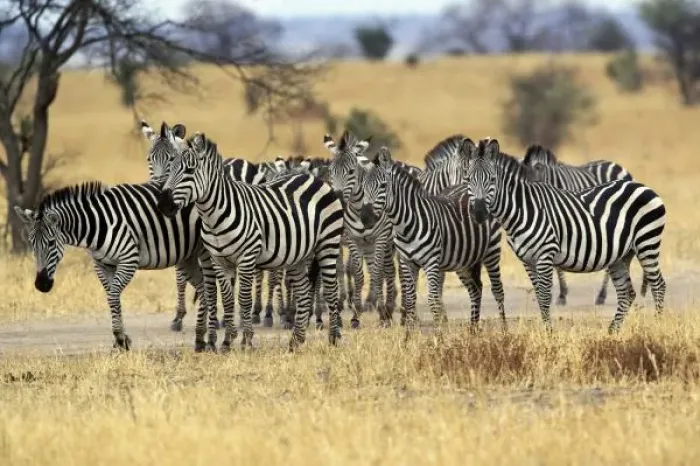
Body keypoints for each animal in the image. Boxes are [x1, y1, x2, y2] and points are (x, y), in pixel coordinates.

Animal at [14, 182, 221, 352]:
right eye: (32, 244)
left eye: (50, 243)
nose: (41, 284)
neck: (97, 226)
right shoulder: (102, 265)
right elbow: (112, 298)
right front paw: (121, 340)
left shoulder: (128, 260)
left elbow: (113, 296)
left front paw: (120, 339)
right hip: (187, 257)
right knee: (202, 288)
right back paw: (200, 336)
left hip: (206, 251)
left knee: (211, 287)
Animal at [141, 121, 286, 328]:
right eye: (149, 159)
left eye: (172, 158)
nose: (159, 190)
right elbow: (182, 277)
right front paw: (180, 316)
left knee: (273, 273)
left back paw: (272, 313)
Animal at [156, 130, 345, 350]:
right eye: (171, 168)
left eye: (189, 170)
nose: (163, 205)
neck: (213, 216)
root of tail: (315, 179)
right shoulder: (219, 261)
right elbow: (228, 300)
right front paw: (227, 342)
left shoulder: (247, 257)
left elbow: (244, 299)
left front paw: (246, 341)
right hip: (298, 254)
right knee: (304, 293)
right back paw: (296, 341)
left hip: (328, 244)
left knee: (331, 290)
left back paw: (334, 338)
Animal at [324, 131, 398, 328]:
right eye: (330, 171)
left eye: (350, 172)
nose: (338, 200)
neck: (359, 209)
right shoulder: (353, 239)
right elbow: (357, 274)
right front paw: (356, 314)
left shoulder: (380, 238)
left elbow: (377, 273)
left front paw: (382, 313)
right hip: (359, 244)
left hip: (384, 243)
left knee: (386, 271)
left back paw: (387, 307)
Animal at [367, 145, 507, 330]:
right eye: (363, 186)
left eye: (383, 186)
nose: (365, 217)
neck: (406, 224)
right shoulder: (407, 262)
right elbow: (410, 300)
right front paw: (408, 334)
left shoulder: (431, 263)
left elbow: (432, 301)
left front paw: (439, 334)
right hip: (463, 260)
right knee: (476, 289)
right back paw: (473, 329)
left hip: (491, 252)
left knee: (497, 290)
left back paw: (504, 330)